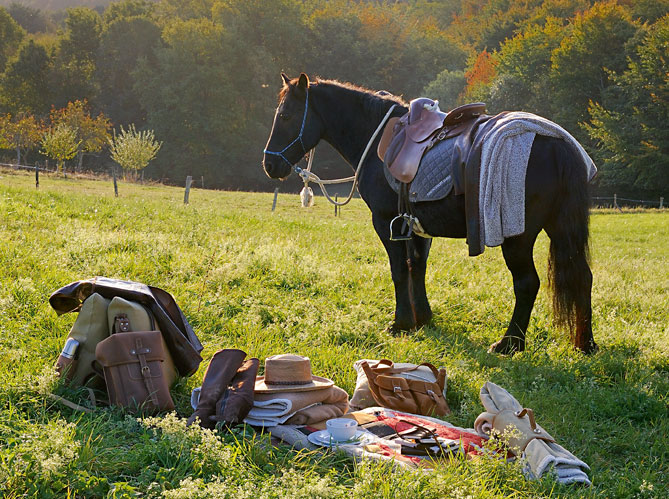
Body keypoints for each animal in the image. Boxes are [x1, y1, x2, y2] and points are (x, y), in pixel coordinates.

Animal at [262, 73, 597, 355]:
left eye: (286, 115)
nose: (269, 164)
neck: (378, 139)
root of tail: (556, 144)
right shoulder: (415, 225)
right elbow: (417, 267)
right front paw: (423, 318)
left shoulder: (385, 221)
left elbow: (399, 270)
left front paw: (400, 323)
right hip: (561, 228)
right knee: (583, 277)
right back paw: (586, 343)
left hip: (519, 236)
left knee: (527, 283)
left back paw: (509, 343)